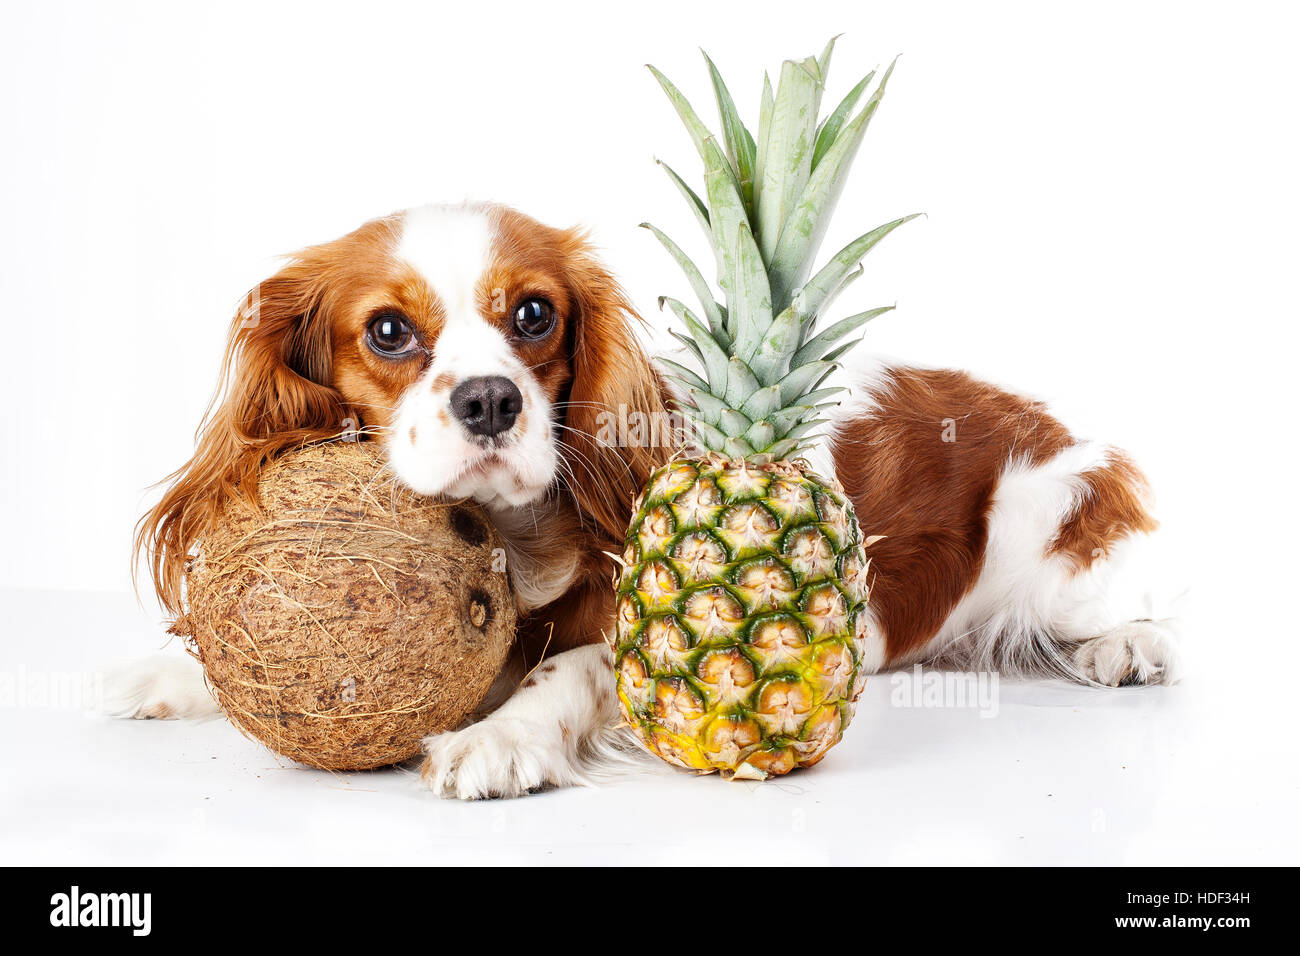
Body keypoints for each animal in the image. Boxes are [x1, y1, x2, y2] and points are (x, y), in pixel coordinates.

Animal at [122, 201, 1180, 801]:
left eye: (534, 313)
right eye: (387, 331)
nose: (492, 399)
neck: (513, 535)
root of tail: (1034, 412)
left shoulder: (628, 632)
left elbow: (567, 674)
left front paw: (500, 739)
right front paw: (168, 675)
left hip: (1056, 517)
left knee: (1129, 604)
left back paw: (1128, 647)